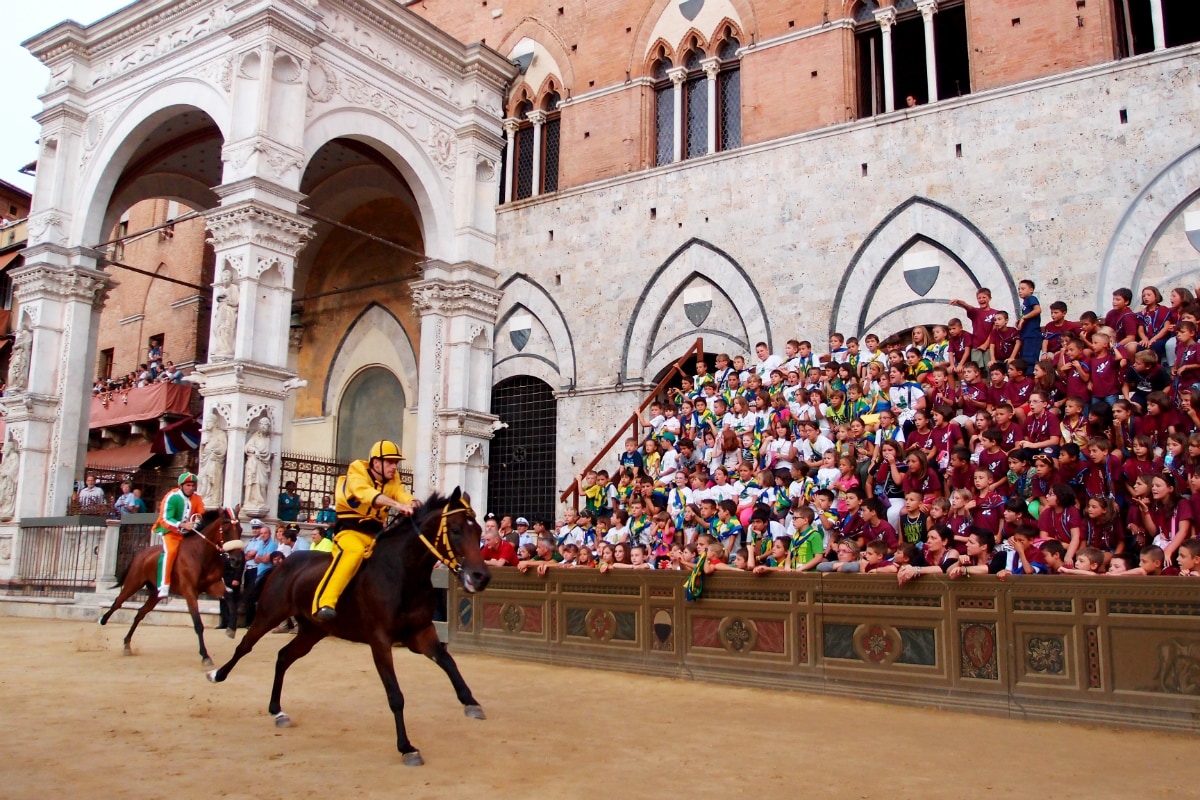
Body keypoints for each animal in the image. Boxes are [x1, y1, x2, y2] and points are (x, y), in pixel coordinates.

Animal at [99, 506, 243, 671]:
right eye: (225, 529)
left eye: (240, 529)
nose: (237, 560)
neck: (202, 555)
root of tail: (141, 553)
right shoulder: (189, 592)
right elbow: (198, 624)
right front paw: (205, 656)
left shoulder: (214, 586)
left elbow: (231, 600)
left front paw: (231, 629)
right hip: (133, 583)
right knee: (118, 602)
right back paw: (102, 620)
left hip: (155, 594)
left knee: (140, 613)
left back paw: (127, 644)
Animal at [208, 491, 489, 767]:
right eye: (456, 530)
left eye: (478, 531)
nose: (481, 577)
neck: (402, 573)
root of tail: (284, 563)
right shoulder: (380, 640)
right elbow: (395, 694)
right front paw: (407, 747)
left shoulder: (421, 633)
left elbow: (449, 662)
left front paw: (471, 703)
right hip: (269, 614)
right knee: (245, 646)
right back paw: (217, 674)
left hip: (312, 630)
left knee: (284, 656)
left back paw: (277, 710)